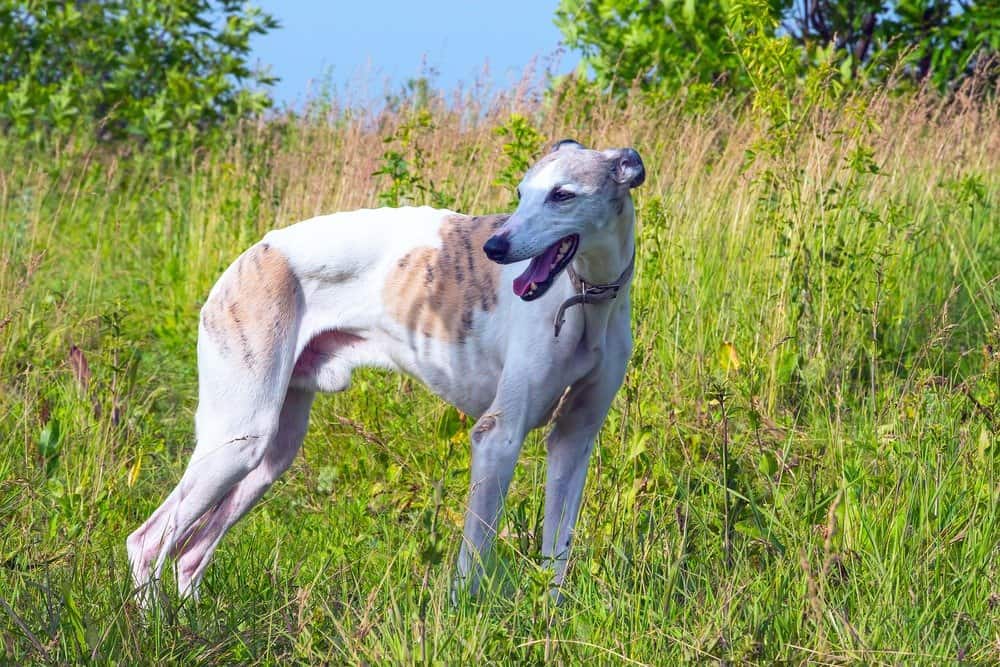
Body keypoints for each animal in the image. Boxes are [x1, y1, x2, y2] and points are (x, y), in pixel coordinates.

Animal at [125, 140, 644, 600]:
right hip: (239, 438)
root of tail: (255, 252)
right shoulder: (497, 435)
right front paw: (462, 620)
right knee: (148, 541)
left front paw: (548, 622)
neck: (585, 299)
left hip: (271, 453)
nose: (496, 247)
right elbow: (473, 558)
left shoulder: (574, 439)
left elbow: (557, 554)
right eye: (520, 193)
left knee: (191, 554)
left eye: (562, 194)